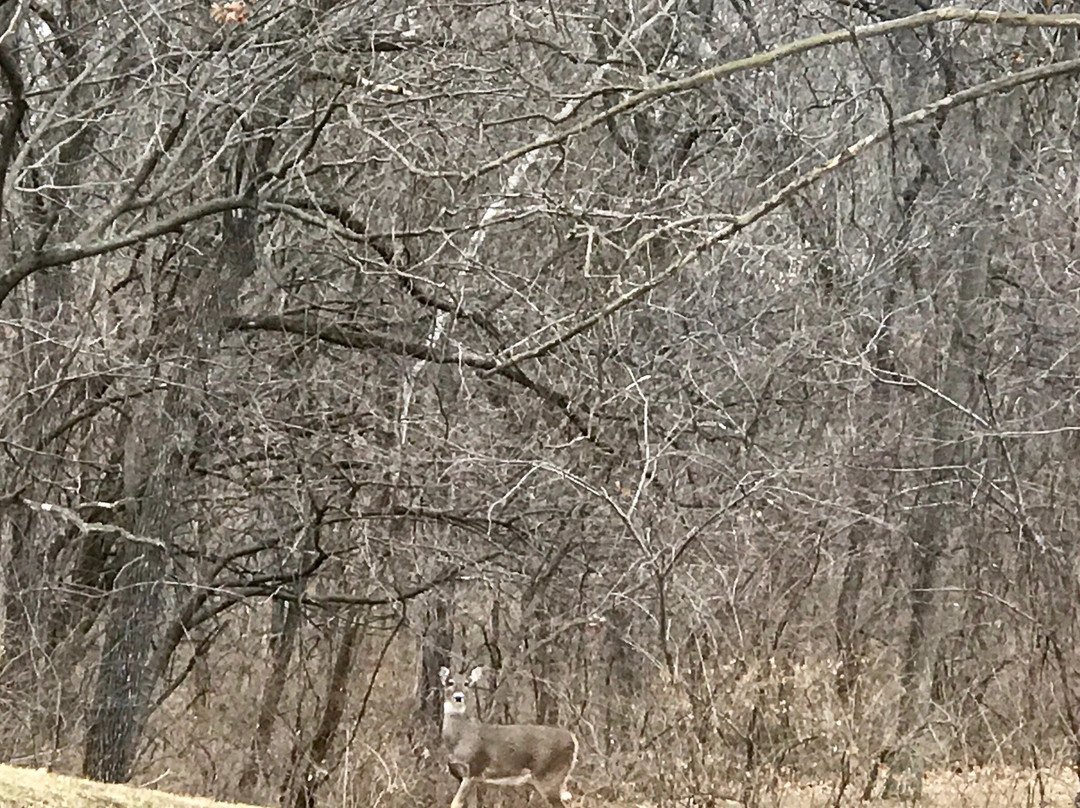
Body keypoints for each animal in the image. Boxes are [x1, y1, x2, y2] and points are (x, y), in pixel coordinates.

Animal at [438, 665, 578, 808]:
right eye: (450, 682)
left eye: (467, 683)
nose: (458, 697)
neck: (460, 738)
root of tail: (573, 739)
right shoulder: (466, 776)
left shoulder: (473, 770)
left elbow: (455, 803)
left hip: (550, 776)